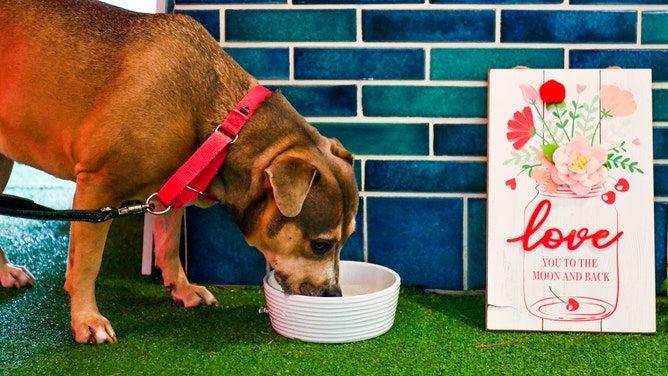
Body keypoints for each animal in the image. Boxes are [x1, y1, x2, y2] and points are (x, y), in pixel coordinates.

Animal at [0, 0, 360, 344]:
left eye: (348, 238)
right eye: (320, 245)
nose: (334, 295)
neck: (223, 128)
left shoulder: (168, 192)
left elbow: (170, 246)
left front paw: (183, 290)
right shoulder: (97, 191)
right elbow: (87, 263)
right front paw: (87, 320)